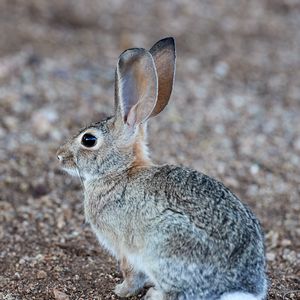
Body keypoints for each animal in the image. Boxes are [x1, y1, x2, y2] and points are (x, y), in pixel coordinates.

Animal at [56, 38, 268, 300]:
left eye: (88, 140)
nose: (59, 156)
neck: (120, 171)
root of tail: (238, 289)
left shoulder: (125, 246)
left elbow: (130, 273)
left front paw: (121, 290)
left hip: (165, 247)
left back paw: (154, 294)